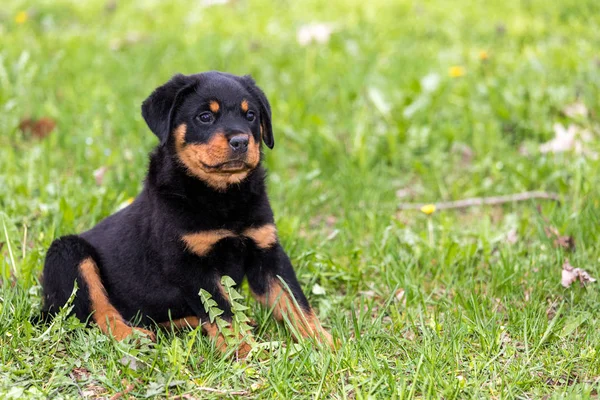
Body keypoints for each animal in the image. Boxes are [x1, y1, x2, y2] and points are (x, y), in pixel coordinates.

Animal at [41, 72, 332, 356]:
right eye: (205, 117)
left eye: (250, 115)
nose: (241, 141)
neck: (223, 196)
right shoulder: (190, 265)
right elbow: (223, 311)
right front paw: (245, 350)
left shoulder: (267, 251)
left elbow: (295, 301)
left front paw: (324, 342)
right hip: (67, 254)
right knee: (99, 314)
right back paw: (132, 336)